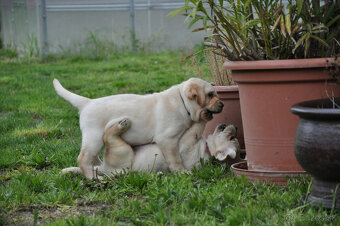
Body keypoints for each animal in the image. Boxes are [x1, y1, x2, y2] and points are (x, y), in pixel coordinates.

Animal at [53, 78, 223, 179]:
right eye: (210, 95)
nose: (222, 104)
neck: (182, 102)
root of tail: (87, 102)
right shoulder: (167, 140)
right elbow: (175, 158)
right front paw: (181, 171)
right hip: (94, 138)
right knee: (83, 158)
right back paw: (93, 178)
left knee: (94, 160)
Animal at [61, 109, 242, 177]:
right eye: (232, 138)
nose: (236, 127)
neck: (207, 151)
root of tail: (105, 170)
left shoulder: (187, 140)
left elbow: (197, 127)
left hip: (123, 151)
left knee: (108, 137)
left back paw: (121, 125)